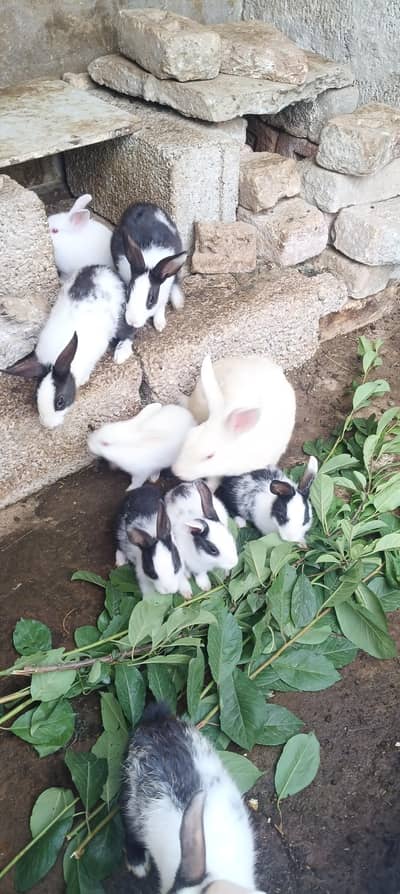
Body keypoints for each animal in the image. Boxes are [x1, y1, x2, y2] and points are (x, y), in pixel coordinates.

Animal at [2, 266, 134, 429]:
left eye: (60, 401)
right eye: (36, 397)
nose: (48, 425)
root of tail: (106, 269)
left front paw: (84, 380)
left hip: (121, 316)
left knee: (129, 333)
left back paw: (121, 355)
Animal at [111, 202, 187, 332]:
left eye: (151, 299)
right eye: (128, 292)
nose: (132, 322)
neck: (150, 264)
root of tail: (142, 204)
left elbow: (161, 306)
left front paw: (160, 325)